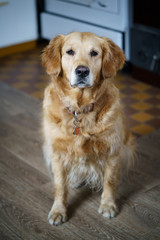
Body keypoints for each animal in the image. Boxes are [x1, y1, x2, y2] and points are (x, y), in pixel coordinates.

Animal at [41, 32, 135, 227]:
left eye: (94, 53)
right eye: (70, 52)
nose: (82, 71)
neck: (80, 108)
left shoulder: (113, 150)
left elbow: (110, 180)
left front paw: (108, 205)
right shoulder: (56, 152)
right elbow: (59, 186)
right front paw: (58, 211)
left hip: (128, 145)